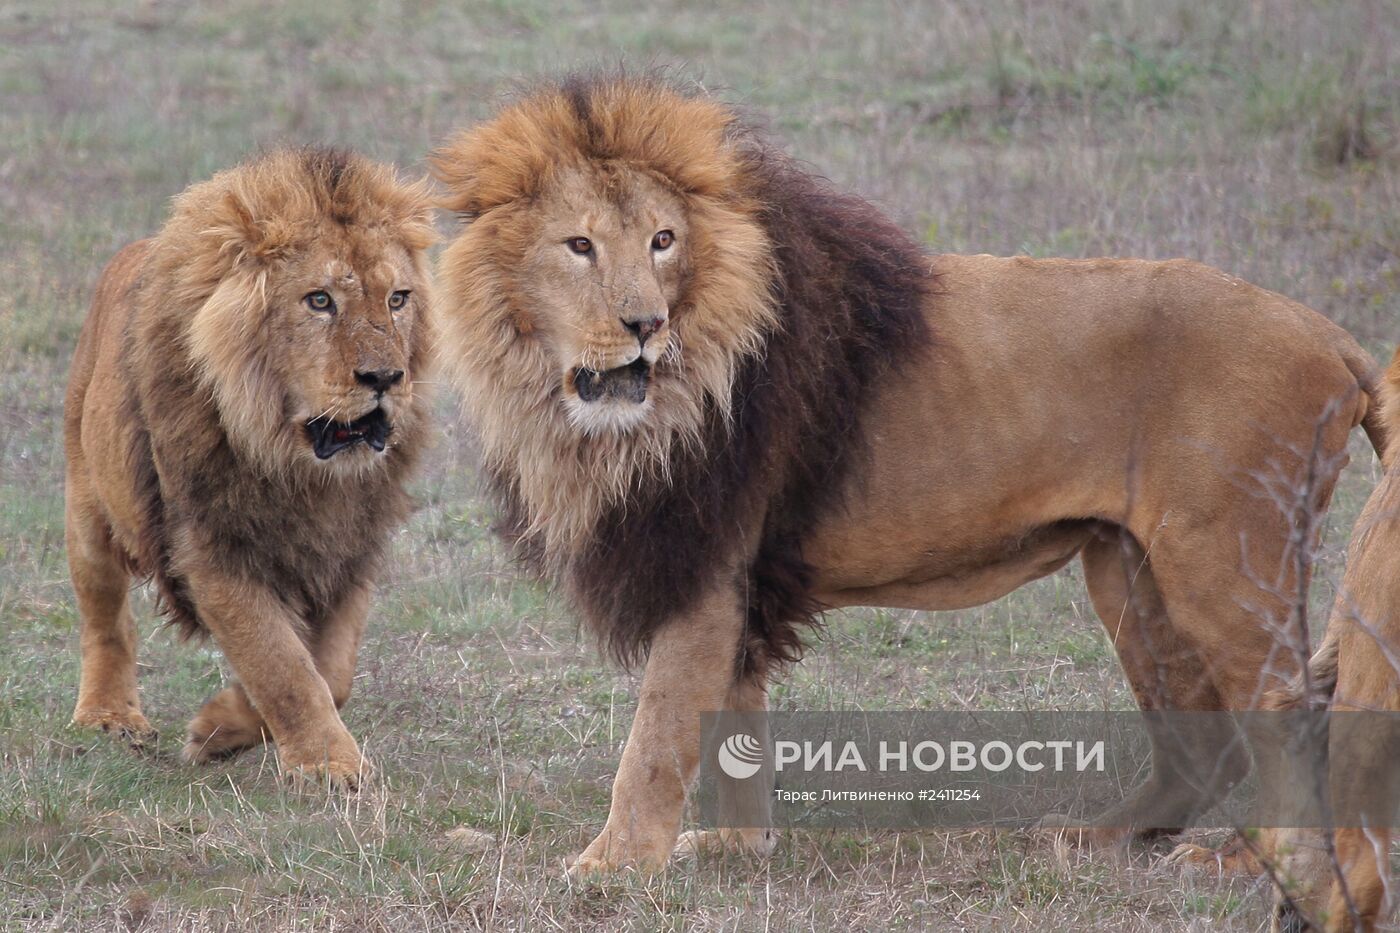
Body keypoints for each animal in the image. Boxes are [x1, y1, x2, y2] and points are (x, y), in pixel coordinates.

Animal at [65, 147, 434, 784]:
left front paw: (222, 728)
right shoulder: (211, 547)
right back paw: (110, 716)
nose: (385, 378)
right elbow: (281, 664)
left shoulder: (350, 548)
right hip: (87, 512)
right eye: (319, 300)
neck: (298, 467)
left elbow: (329, 673)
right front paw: (330, 766)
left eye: (397, 299)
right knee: (105, 621)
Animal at [428, 74, 1388, 874]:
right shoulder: (737, 571)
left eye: (664, 241)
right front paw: (736, 847)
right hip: (1129, 565)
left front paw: (614, 866)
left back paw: (1251, 863)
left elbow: (657, 734)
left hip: (1224, 557)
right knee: (1202, 739)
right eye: (578, 246)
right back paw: (1101, 837)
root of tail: (1330, 334)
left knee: (1287, 712)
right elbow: (731, 714)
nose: (642, 324)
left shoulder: (706, 554)